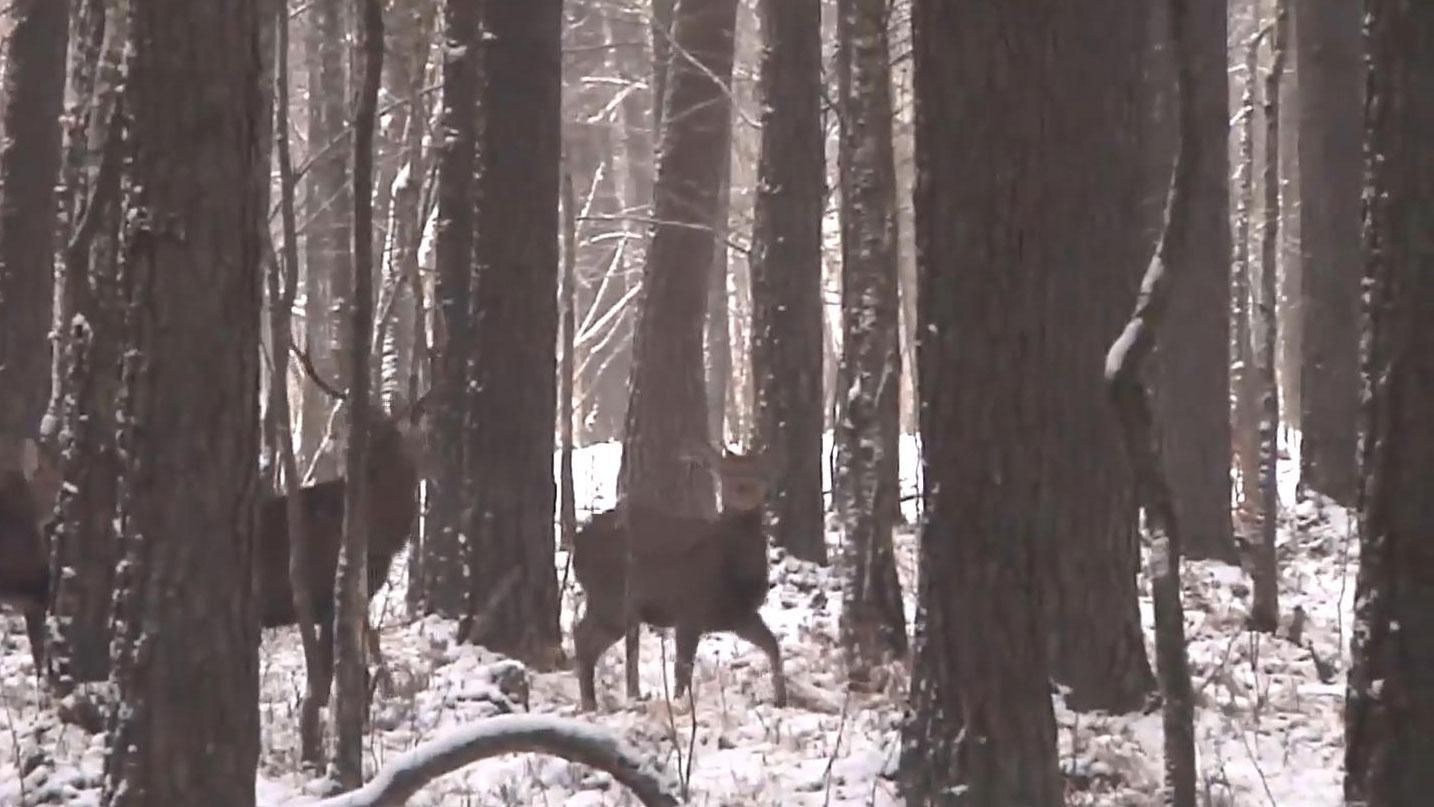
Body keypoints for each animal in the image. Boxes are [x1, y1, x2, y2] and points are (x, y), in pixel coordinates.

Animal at [567, 441, 785, 713]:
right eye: (726, 473)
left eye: (759, 472)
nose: (743, 490)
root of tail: (577, 543)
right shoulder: (689, 609)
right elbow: (682, 667)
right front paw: (682, 706)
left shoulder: (740, 615)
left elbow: (773, 645)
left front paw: (781, 699)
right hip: (610, 597)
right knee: (582, 635)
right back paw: (590, 703)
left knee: (586, 639)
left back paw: (591, 702)